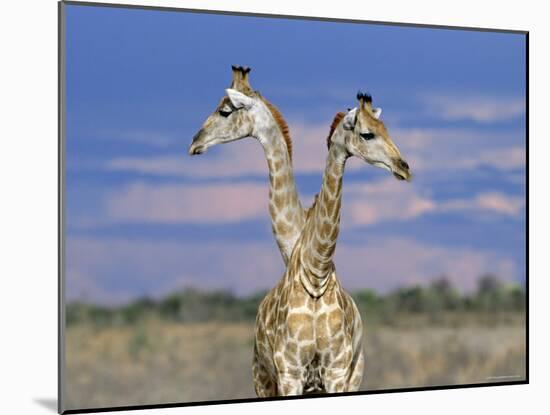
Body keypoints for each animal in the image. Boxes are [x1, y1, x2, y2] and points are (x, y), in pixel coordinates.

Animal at [253, 91, 410, 396]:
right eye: (367, 133)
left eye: (387, 129)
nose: (404, 168)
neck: (316, 277)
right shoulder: (290, 372)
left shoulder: (337, 371)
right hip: (263, 378)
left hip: (352, 374)